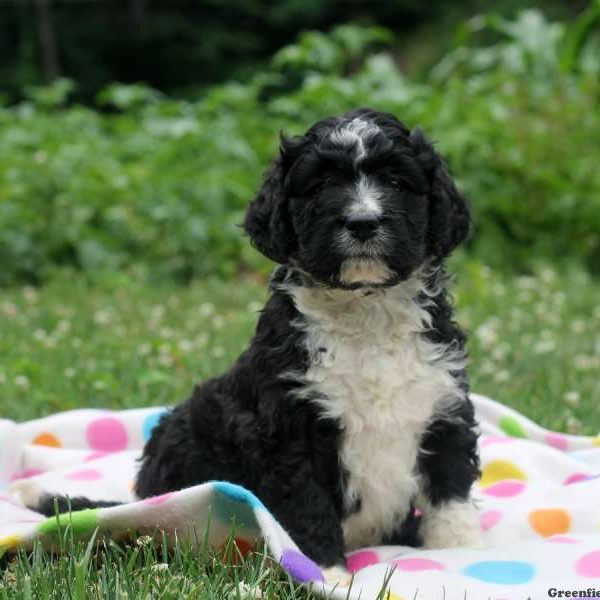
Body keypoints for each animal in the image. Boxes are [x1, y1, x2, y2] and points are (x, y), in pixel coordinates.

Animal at [38, 109, 482, 580]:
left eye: (397, 181)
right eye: (320, 186)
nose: (362, 222)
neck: (365, 309)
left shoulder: (443, 405)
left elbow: (451, 487)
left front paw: (462, 553)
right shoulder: (288, 430)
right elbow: (308, 504)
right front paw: (327, 574)